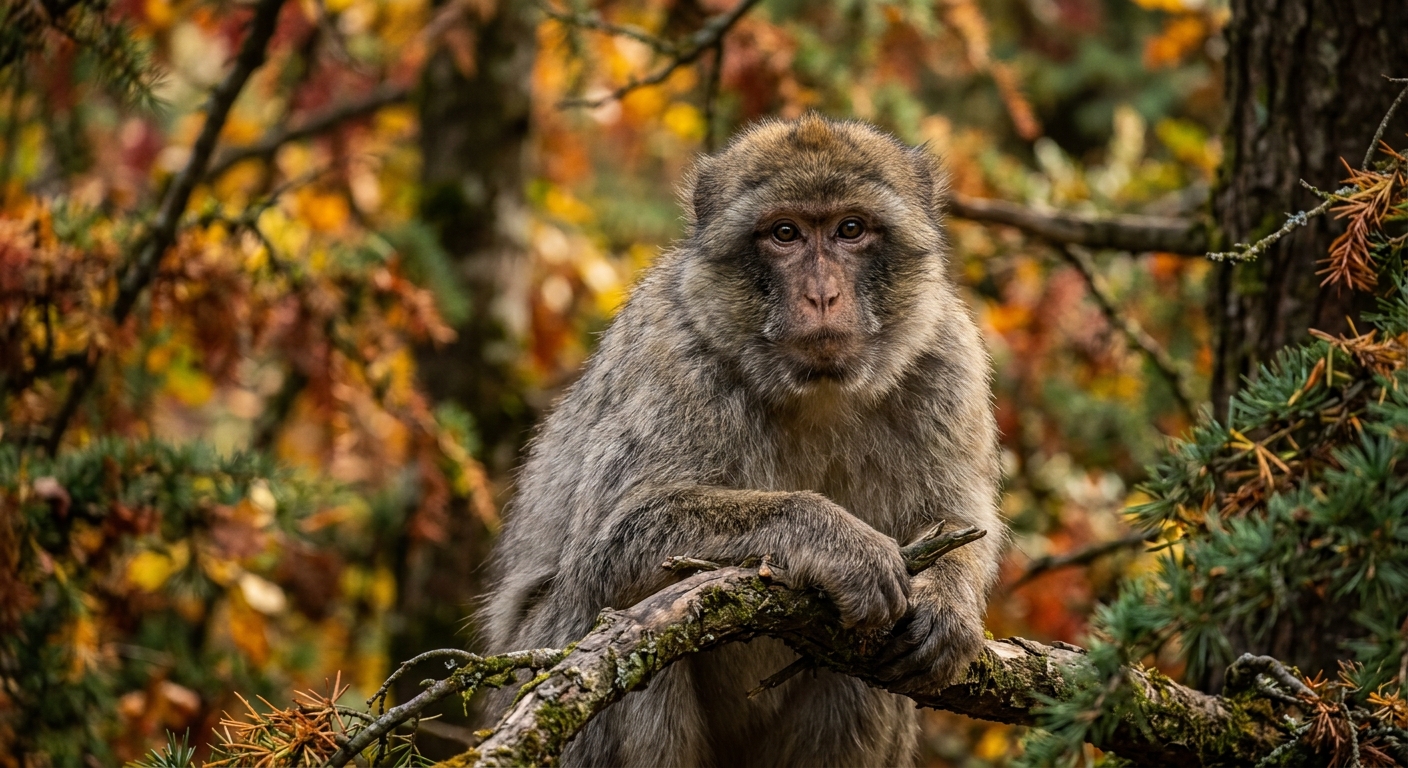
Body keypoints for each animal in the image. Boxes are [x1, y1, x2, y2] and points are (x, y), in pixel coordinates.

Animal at [481, 114, 1004, 768]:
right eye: (784, 233)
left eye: (850, 229)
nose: (822, 295)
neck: (817, 393)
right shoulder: (674, 356)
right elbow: (611, 543)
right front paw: (836, 541)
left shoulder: (947, 360)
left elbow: (958, 519)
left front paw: (949, 601)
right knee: (621, 617)